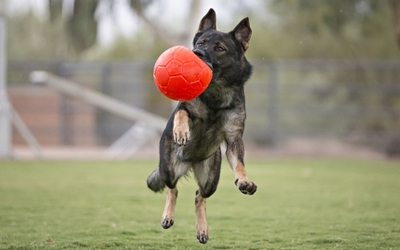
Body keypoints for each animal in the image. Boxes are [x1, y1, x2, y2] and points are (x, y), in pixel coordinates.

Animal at [146, 8, 256, 244]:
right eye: (201, 42)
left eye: (220, 48)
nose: (197, 53)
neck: (216, 92)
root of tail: (190, 161)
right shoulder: (185, 106)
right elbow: (181, 112)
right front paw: (181, 131)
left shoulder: (233, 139)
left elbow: (240, 164)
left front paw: (244, 181)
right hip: (168, 168)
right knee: (172, 189)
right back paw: (168, 216)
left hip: (210, 180)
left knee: (199, 196)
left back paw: (202, 229)